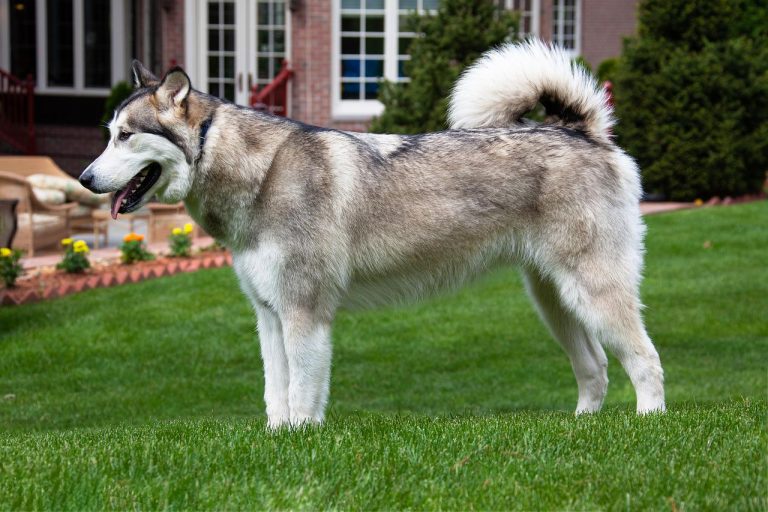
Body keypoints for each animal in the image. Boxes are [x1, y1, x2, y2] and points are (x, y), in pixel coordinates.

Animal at [79, 40, 664, 426]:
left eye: (125, 136)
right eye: (107, 135)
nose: (84, 179)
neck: (258, 172)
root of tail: (584, 132)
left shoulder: (304, 313)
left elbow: (302, 395)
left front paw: (299, 441)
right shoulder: (269, 315)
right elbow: (275, 394)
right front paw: (275, 442)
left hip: (593, 292)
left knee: (645, 361)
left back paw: (648, 426)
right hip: (555, 301)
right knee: (596, 368)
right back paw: (582, 429)